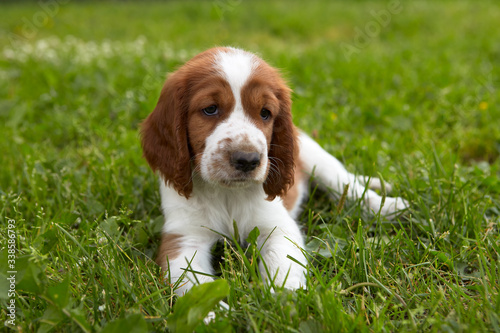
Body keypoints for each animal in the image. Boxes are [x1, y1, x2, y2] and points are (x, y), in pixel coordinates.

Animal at [140, 46, 406, 294]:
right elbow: (193, 283)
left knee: (347, 186)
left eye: (265, 113)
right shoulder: (184, 237)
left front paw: (284, 299)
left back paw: (387, 204)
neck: (228, 194)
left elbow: (283, 265)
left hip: (319, 160)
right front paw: (215, 312)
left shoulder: (278, 227)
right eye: (210, 109)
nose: (247, 160)